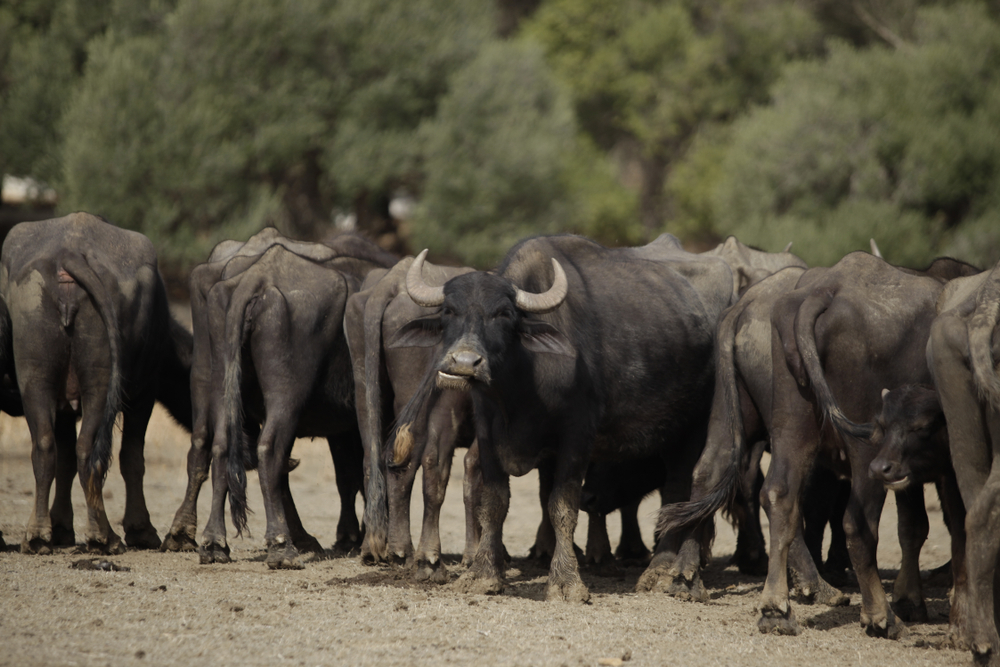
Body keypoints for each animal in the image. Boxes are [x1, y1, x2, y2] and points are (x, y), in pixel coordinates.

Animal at [0, 214, 191, 552]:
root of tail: (69, 254)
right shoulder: (144, 394)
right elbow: (132, 459)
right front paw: (141, 529)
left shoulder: (62, 404)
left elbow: (63, 461)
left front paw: (61, 527)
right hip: (100, 382)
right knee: (89, 452)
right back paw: (103, 535)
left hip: (36, 375)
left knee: (46, 447)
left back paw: (38, 534)